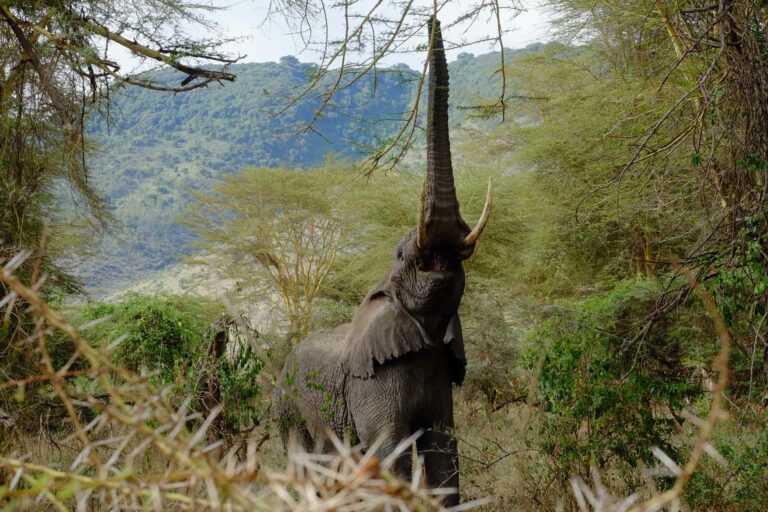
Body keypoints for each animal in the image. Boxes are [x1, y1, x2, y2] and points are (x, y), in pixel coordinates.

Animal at [274, 17, 492, 507]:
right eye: (401, 255)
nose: (432, 18)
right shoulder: (371, 382)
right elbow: (389, 451)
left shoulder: (439, 371)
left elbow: (444, 452)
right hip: (288, 404)